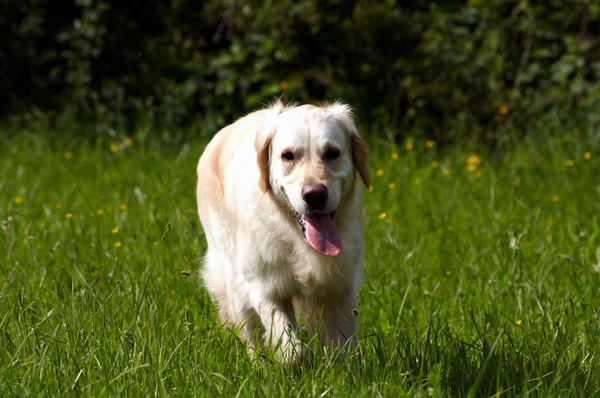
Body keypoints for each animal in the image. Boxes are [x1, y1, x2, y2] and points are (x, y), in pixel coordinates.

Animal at [195, 101, 368, 362]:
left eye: (332, 153)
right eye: (288, 155)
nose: (314, 194)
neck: (295, 236)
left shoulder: (342, 287)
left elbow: (343, 346)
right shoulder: (265, 287)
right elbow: (291, 348)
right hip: (235, 282)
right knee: (250, 333)